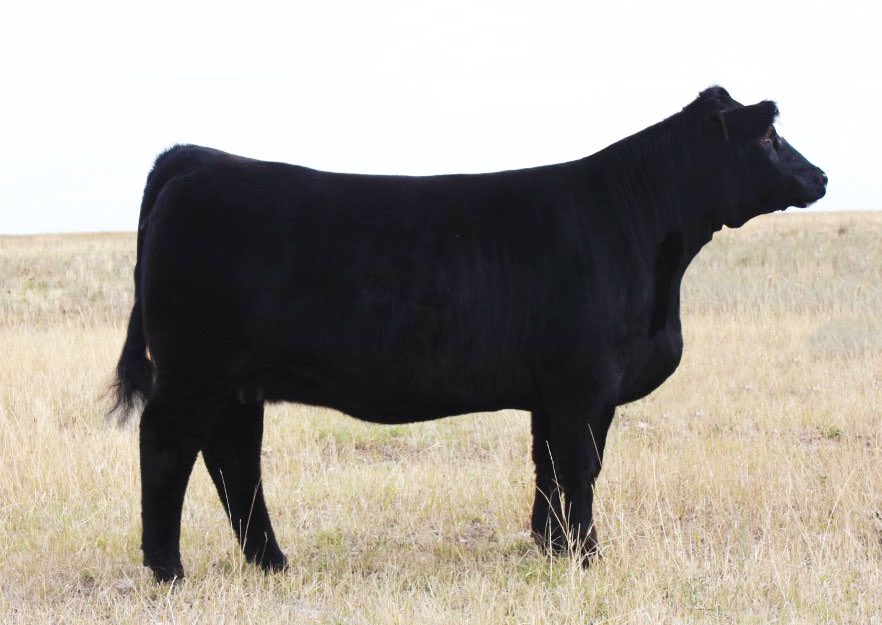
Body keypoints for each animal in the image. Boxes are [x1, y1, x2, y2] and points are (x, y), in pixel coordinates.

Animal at [109, 86, 827, 582]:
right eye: (767, 135)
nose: (820, 177)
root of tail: (197, 159)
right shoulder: (585, 386)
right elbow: (581, 466)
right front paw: (586, 557)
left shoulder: (552, 393)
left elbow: (546, 467)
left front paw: (549, 547)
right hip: (195, 368)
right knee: (167, 445)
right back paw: (167, 568)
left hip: (237, 380)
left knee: (234, 457)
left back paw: (271, 561)